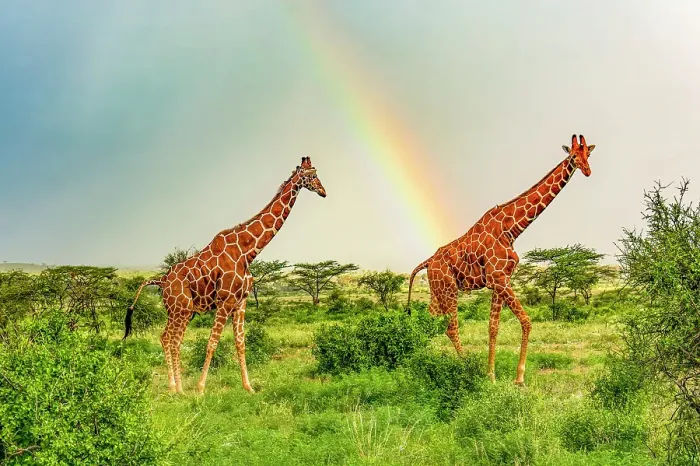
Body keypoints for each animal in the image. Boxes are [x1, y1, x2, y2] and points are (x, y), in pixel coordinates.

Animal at [124, 157, 326, 394]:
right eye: (313, 175)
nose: (324, 191)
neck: (247, 252)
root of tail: (162, 280)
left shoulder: (241, 302)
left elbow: (241, 343)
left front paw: (249, 387)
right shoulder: (225, 301)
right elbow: (212, 342)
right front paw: (201, 388)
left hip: (179, 311)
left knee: (166, 338)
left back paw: (173, 386)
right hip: (181, 309)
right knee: (173, 341)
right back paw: (180, 389)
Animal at [407, 134, 595, 385]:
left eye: (588, 154)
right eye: (574, 156)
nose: (587, 171)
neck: (511, 230)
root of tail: (428, 261)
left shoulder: (500, 280)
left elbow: (493, 327)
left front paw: (491, 375)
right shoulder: (499, 278)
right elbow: (526, 321)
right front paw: (519, 378)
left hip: (437, 290)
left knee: (427, 322)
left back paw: (419, 361)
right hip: (448, 289)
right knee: (451, 328)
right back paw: (464, 367)